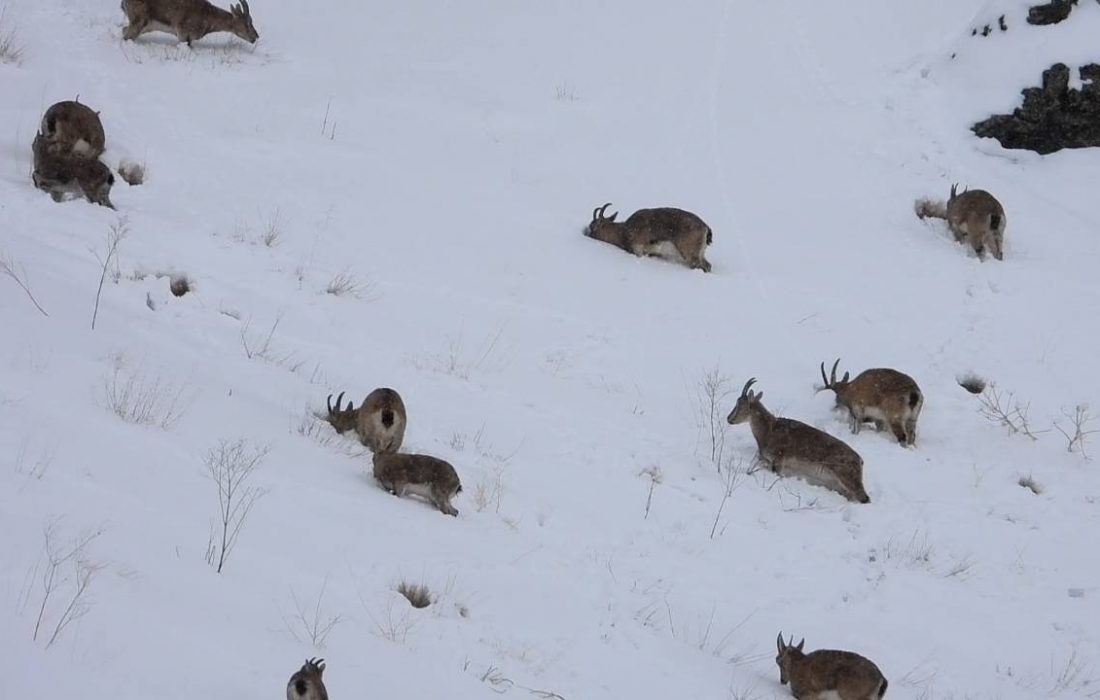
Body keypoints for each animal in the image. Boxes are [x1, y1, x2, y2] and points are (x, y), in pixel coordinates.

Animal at [726, 376, 871, 504]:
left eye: (740, 404)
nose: (729, 419)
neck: (769, 430)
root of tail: (860, 461)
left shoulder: (779, 461)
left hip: (847, 478)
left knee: (864, 498)